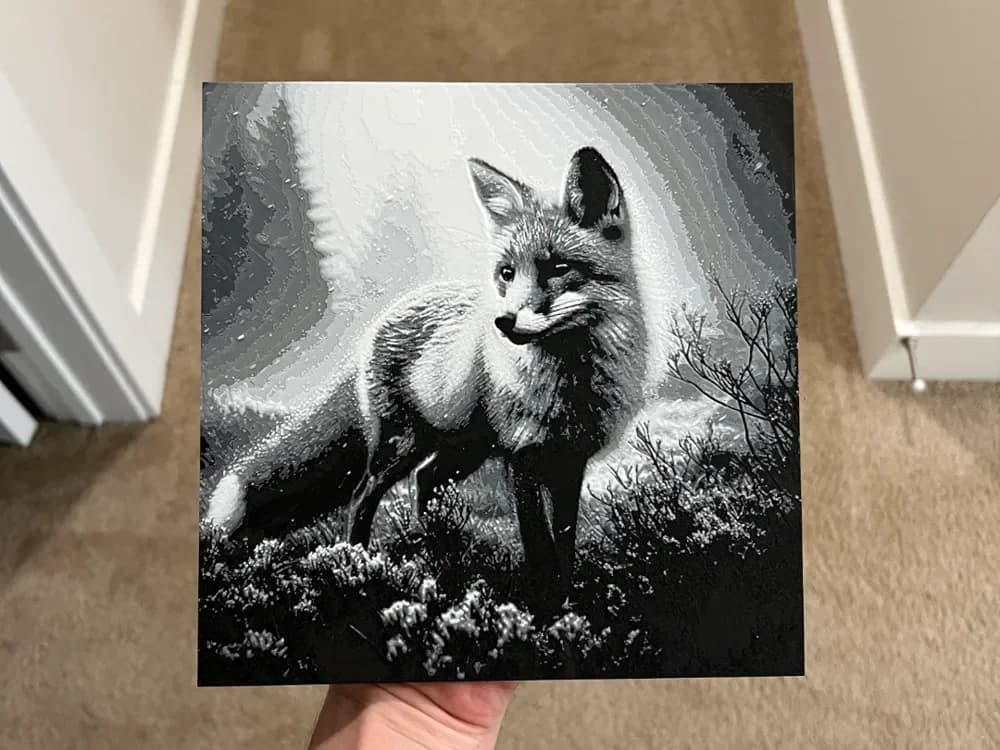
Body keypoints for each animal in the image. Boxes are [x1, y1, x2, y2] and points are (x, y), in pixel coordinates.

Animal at [203, 146, 648, 594]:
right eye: (507, 273)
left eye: (558, 268)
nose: (503, 322)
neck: (569, 385)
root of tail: (376, 326)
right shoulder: (521, 457)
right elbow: (538, 546)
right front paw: (546, 601)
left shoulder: (570, 461)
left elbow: (564, 542)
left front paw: (569, 595)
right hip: (401, 445)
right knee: (363, 494)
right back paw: (357, 561)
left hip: (464, 447)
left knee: (425, 481)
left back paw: (440, 552)